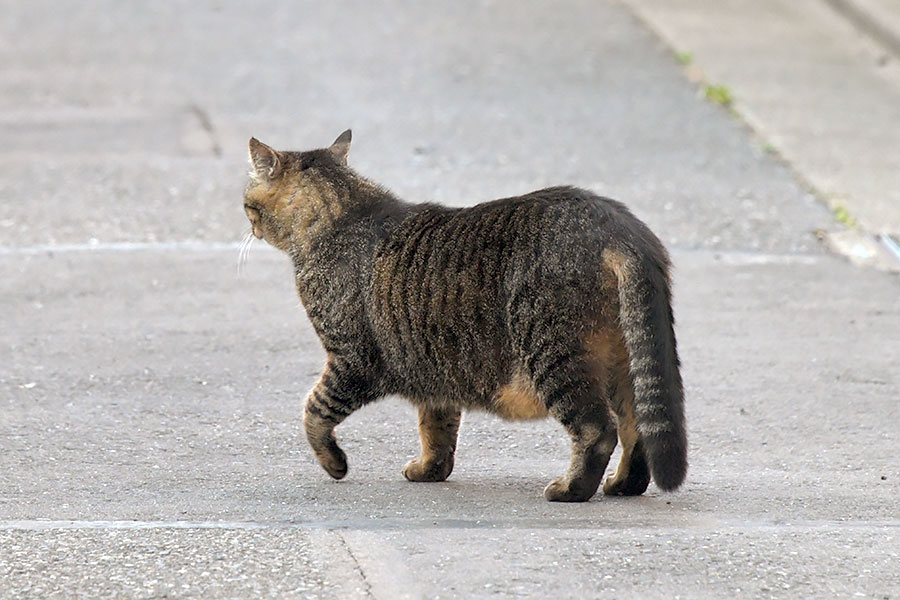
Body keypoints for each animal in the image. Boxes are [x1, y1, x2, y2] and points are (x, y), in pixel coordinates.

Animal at [243, 131, 684, 502]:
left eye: (247, 201)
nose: (248, 224)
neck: (340, 215)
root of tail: (621, 225)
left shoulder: (351, 360)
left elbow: (314, 411)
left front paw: (334, 463)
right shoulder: (432, 366)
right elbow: (436, 428)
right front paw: (429, 470)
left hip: (555, 353)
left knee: (598, 429)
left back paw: (570, 489)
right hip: (623, 361)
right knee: (638, 425)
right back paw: (624, 484)